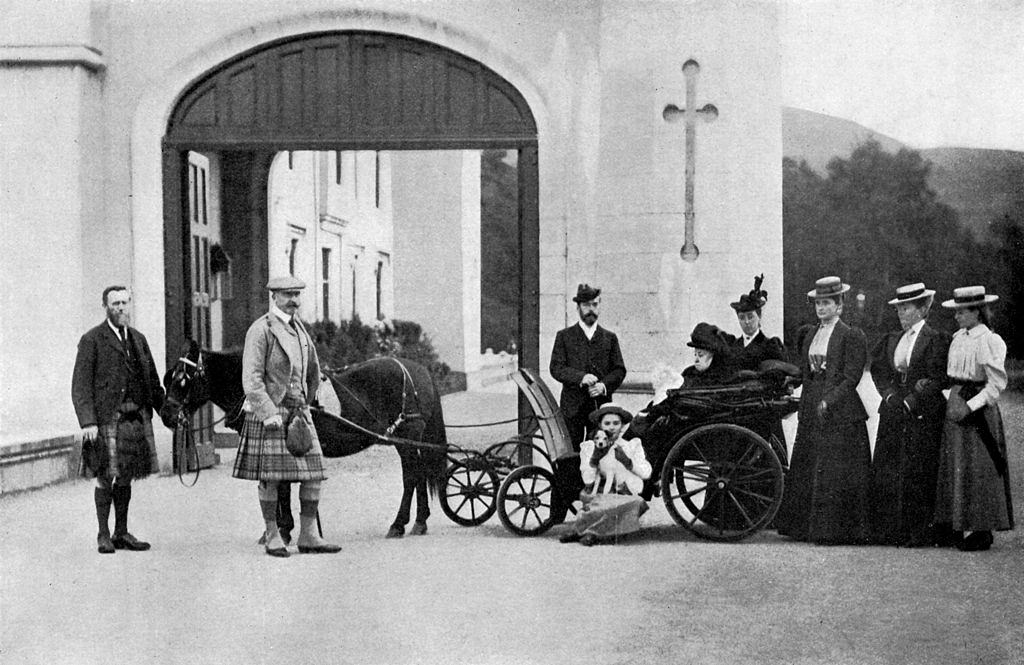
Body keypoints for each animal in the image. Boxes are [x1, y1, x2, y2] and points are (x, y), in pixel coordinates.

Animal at [159, 340, 448, 536]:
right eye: (168, 376)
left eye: (183, 380)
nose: (166, 415)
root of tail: (417, 369)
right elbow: (276, 485)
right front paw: (275, 530)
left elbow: (283, 486)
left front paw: (283, 530)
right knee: (418, 473)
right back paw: (420, 521)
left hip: (406, 437)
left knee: (411, 476)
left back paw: (400, 524)